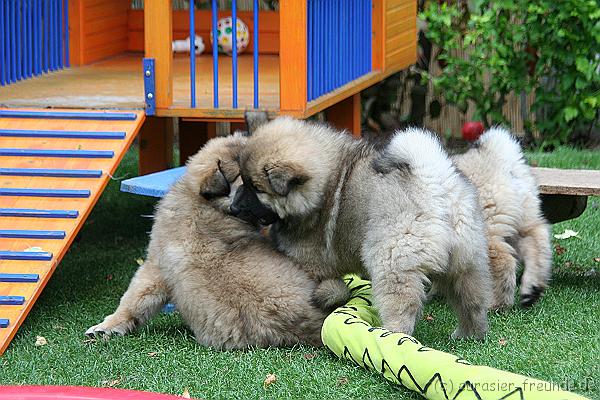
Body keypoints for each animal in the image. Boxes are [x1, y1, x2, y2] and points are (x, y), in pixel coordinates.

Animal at [85, 133, 346, 348]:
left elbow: (134, 299)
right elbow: (133, 300)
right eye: (247, 184)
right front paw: (108, 326)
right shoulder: (154, 267)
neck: (203, 202)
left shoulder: (155, 268)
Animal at [231, 117, 492, 340]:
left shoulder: (309, 263)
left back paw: (393, 337)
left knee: (402, 306)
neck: (322, 186)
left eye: (257, 188)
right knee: (472, 301)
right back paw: (470, 334)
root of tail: (433, 182)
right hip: (467, 262)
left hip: (393, 262)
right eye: (243, 180)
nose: (233, 207)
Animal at [454, 126, 552, 308]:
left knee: (504, 260)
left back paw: (497, 303)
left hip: (487, 228)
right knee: (536, 240)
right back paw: (531, 289)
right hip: (522, 218)